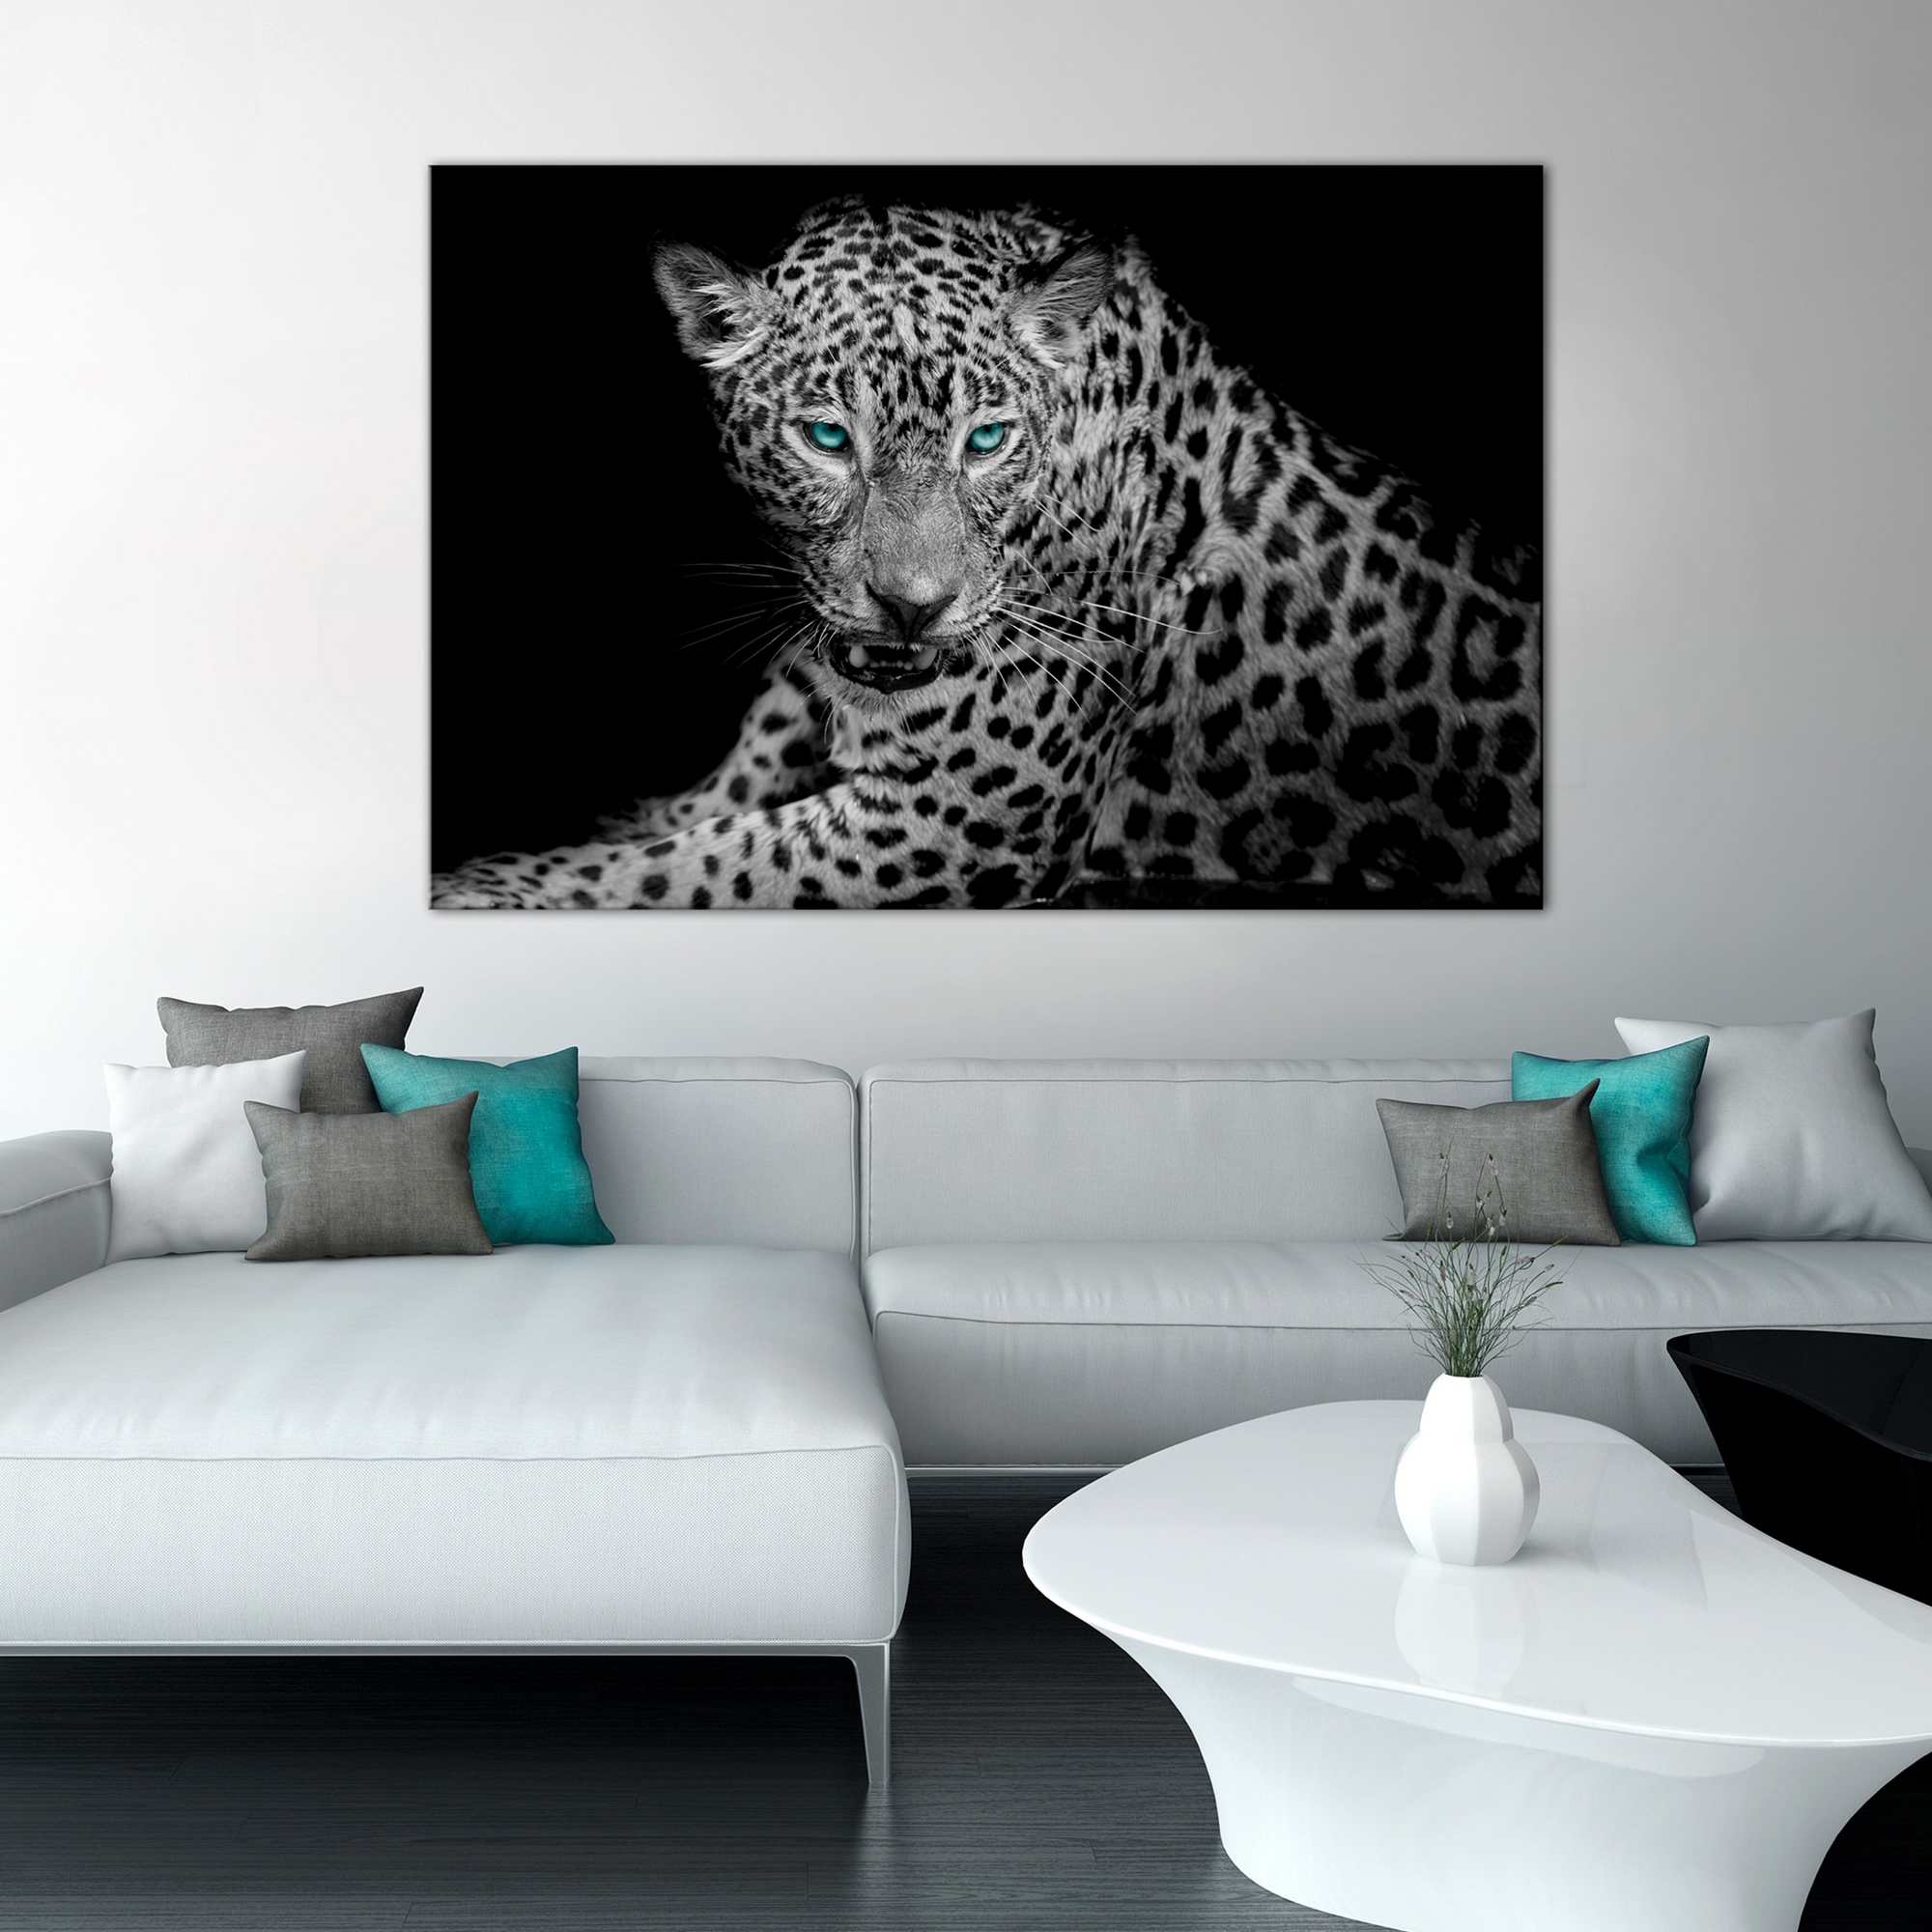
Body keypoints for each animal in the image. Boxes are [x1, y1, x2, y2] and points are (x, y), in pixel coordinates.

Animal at [431, 196, 1540, 911]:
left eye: (987, 439)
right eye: (826, 438)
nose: (912, 606)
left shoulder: (962, 816)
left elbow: (673, 870)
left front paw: (486, 886)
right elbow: (665, 824)